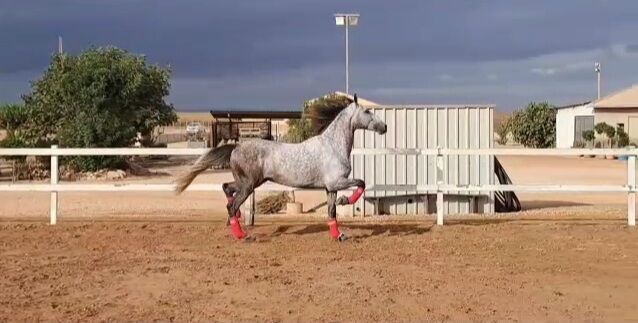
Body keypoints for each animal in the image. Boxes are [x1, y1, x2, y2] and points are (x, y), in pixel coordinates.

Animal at [172, 95, 388, 242]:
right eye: (367, 112)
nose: (384, 127)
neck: (333, 146)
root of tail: (237, 147)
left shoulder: (330, 188)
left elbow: (331, 212)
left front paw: (339, 235)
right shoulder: (337, 182)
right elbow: (361, 183)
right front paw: (345, 201)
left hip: (248, 182)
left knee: (226, 188)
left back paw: (238, 219)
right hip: (249, 185)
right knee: (232, 205)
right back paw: (244, 235)